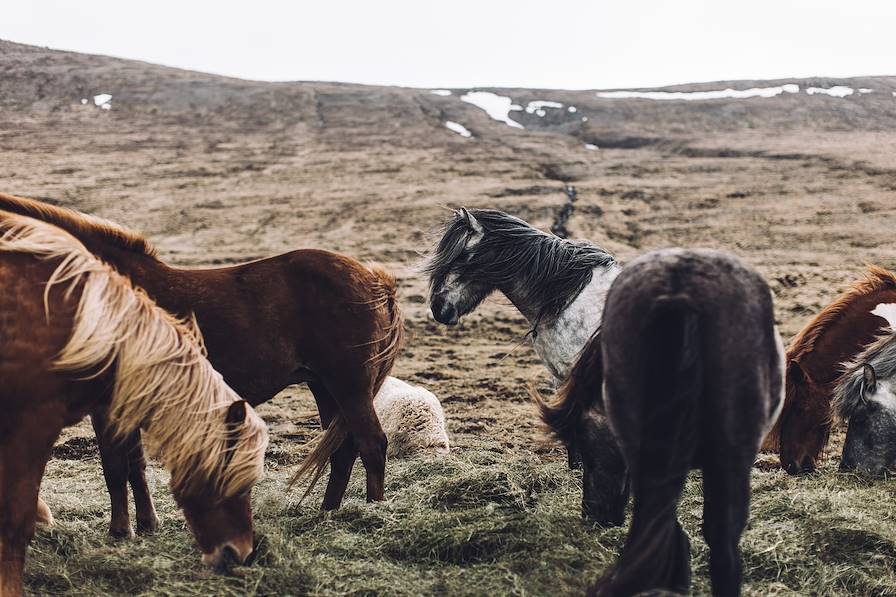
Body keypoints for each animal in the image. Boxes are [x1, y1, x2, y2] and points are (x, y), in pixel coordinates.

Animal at [0, 192, 402, 536]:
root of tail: (375, 280)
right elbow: (135, 468)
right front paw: (146, 525)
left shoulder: (106, 406)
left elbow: (114, 469)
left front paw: (119, 532)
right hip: (325, 387)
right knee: (344, 450)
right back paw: (328, 513)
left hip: (348, 385)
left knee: (371, 444)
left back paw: (374, 514)